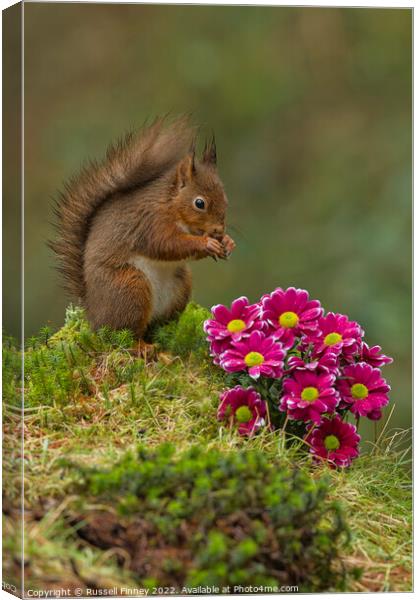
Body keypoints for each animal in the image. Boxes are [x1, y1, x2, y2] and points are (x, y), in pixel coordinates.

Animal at [49, 117, 236, 338]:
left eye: (225, 198)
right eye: (199, 203)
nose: (218, 231)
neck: (170, 205)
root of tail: (93, 314)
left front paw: (227, 242)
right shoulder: (150, 222)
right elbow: (166, 244)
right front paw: (207, 243)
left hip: (181, 285)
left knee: (156, 324)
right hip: (131, 287)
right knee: (126, 333)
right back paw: (142, 344)